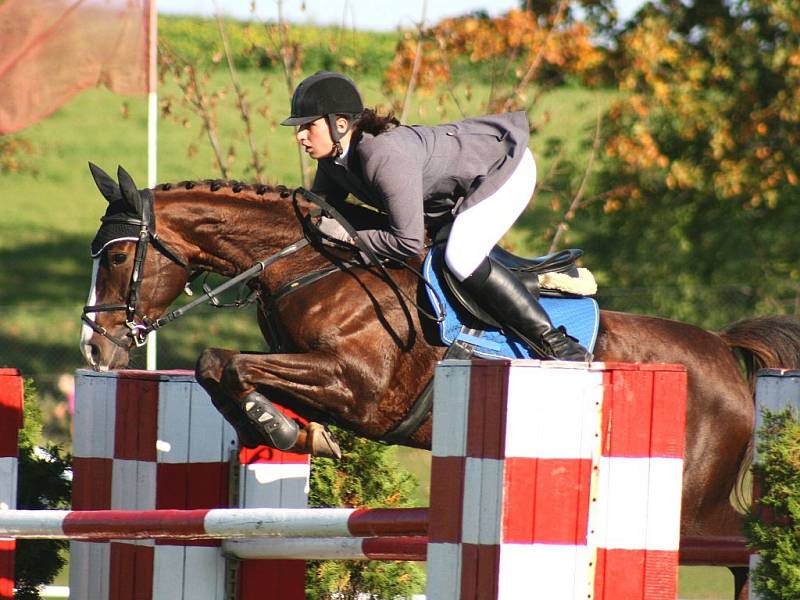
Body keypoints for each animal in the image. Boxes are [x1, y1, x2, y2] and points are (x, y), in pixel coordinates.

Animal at [79, 165, 800, 600]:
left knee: (744, 547)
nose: (94, 345)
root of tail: (721, 349)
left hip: (691, 502)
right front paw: (282, 428)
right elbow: (215, 367)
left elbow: (226, 362)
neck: (313, 264)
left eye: (117, 256)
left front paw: (284, 427)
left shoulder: (362, 391)